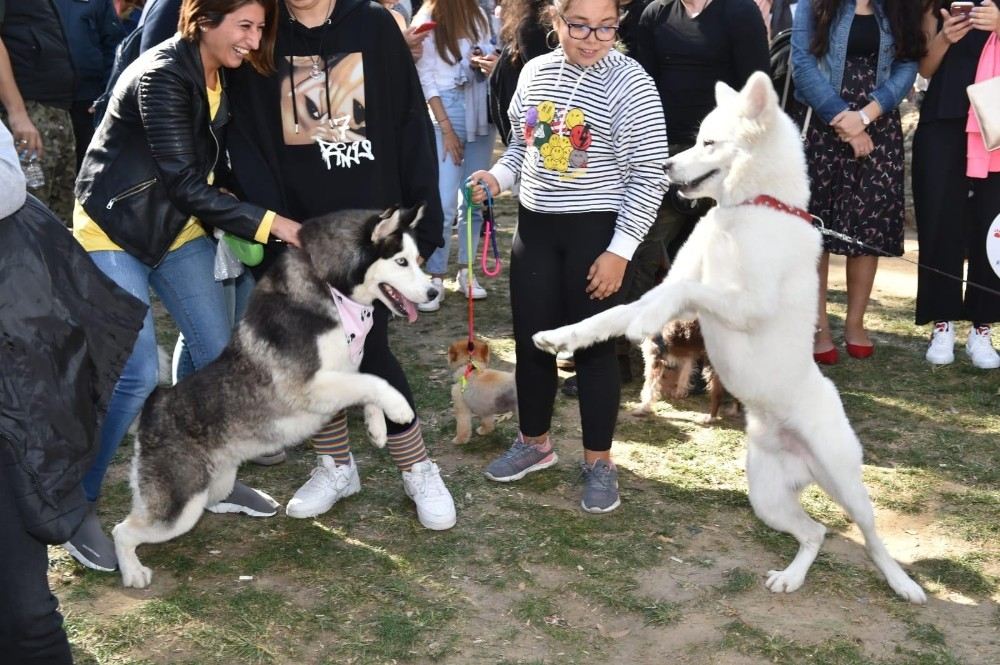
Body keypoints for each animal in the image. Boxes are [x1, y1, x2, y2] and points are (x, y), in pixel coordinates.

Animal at [113, 204, 438, 588]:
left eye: (418, 259)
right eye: (401, 262)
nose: (433, 293)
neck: (329, 287)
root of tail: (155, 403)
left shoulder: (346, 370)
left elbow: (369, 381)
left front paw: (377, 428)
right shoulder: (310, 386)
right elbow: (374, 382)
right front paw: (398, 409)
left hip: (213, 485)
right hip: (178, 505)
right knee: (122, 530)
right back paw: (132, 571)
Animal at [536, 71, 924, 600]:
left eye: (708, 142)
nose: (664, 165)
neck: (747, 210)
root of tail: (801, 460)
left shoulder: (744, 302)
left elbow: (680, 291)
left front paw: (644, 323)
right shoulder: (684, 282)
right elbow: (613, 314)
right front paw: (561, 336)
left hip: (845, 483)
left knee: (872, 538)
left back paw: (903, 584)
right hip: (767, 497)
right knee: (817, 532)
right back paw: (791, 577)